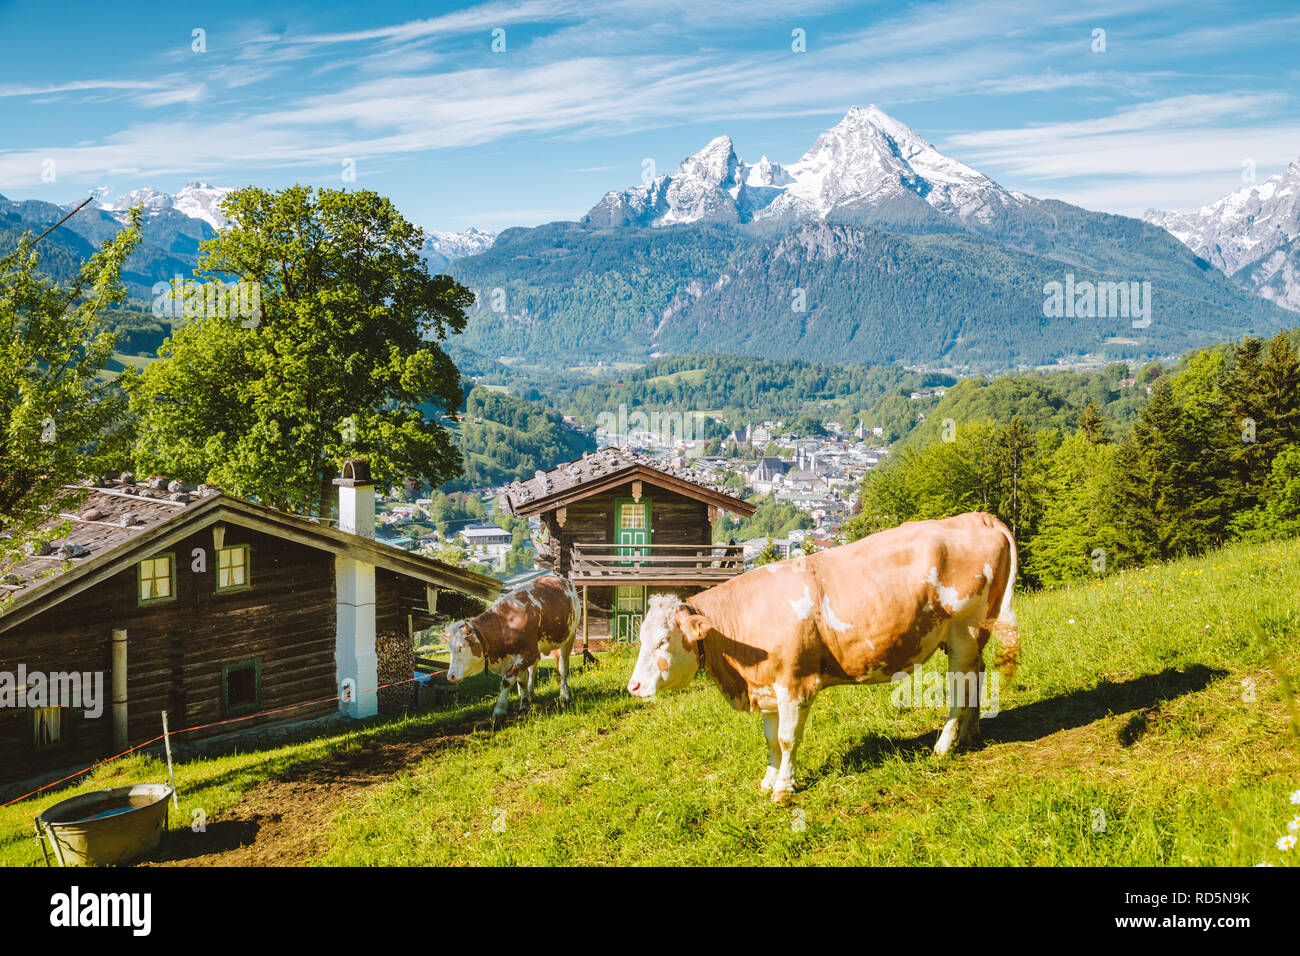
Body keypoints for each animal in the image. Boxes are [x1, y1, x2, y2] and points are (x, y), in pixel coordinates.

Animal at [445, 573, 582, 717]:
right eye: (450, 649)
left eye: (460, 647)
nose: (450, 676)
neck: (507, 624)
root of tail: (563, 580)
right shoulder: (519, 657)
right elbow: (521, 681)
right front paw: (524, 704)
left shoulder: (529, 654)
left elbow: (507, 680)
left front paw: (499, 710)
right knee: (533, 670)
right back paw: (531, 693)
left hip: (569, 638)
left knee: (563, 667)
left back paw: (565, 695)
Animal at [626, 512, 1019, 801]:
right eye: (641, 639)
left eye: (662, 641)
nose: (634, 686)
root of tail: (977, 517)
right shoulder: (767, 687)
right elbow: (771, 740)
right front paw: (768, 781)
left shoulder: (795, 684)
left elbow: (787, 739)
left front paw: (784, 789)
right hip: (970, 636)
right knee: (976, 674)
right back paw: (969, 733)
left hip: (965, 629)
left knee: (959, 687)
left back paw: (944, 745)